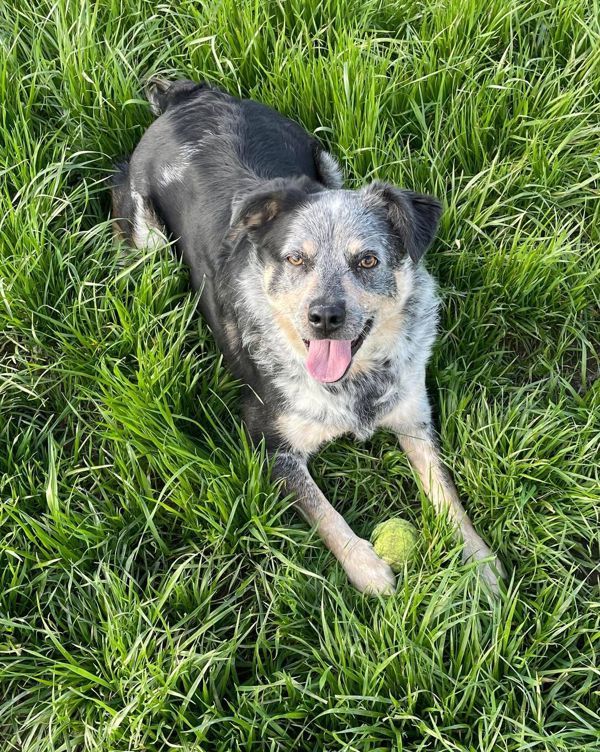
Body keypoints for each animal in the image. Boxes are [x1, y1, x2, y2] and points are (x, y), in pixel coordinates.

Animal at [112, 78, 506, 592]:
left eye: (368, 261)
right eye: (296, 258)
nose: (324, 317)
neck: (354, 386)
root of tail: (188, 97)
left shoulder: (414, 415)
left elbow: (446, 491)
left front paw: (480, 564)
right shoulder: (268, 445)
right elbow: (324, 513)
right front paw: (370, 570)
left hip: (328, 164)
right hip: (150, 243)